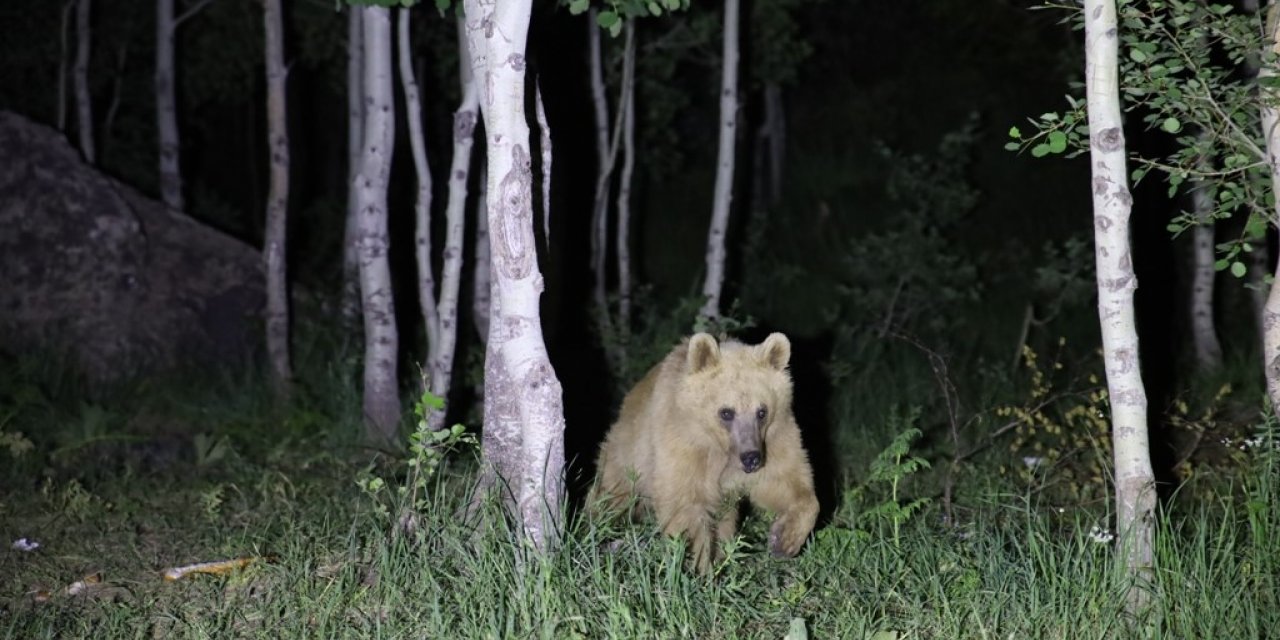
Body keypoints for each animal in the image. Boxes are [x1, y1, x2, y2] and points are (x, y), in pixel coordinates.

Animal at [588, 332, 819, 573]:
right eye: (726, 412)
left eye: (762, 411)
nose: (751, 459)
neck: (722, 451)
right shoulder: (684, 443)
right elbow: (685, 505)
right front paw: (698, 565)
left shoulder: (774, 438)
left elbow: (786, 481)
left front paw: (783, 540)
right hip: (628, 453)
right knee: (612, 494)